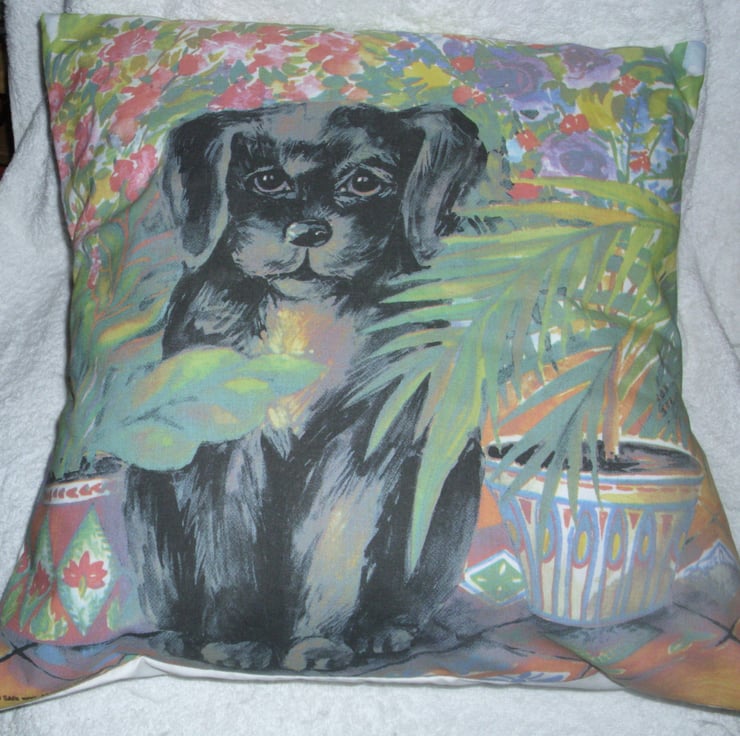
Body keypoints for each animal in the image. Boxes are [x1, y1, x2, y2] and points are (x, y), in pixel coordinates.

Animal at [125, 102, 489, 672]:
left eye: (364, 182)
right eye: (267, 180)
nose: (309, 231)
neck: (304, 312)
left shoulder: (362, 444)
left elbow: (334, 545)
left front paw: (318, 644)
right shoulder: (226, 447)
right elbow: (230, 550)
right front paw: (237, 642)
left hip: (453, 481)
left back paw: (381, 631)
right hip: (146, 495)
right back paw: (180, 637)